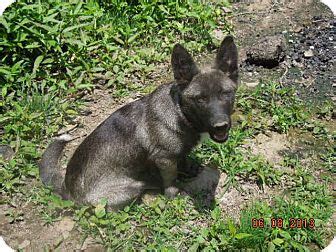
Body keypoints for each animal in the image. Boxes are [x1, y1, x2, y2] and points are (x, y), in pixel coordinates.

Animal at [38, 35, 239, 209]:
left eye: (226, 93)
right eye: (200, 99)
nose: (221, 126)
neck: (180, 112)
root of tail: (68, 189)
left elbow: (182, 159)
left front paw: (188, 167)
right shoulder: (164, 159)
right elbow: (171, 178)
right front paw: (173, 193)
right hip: (131, 187)